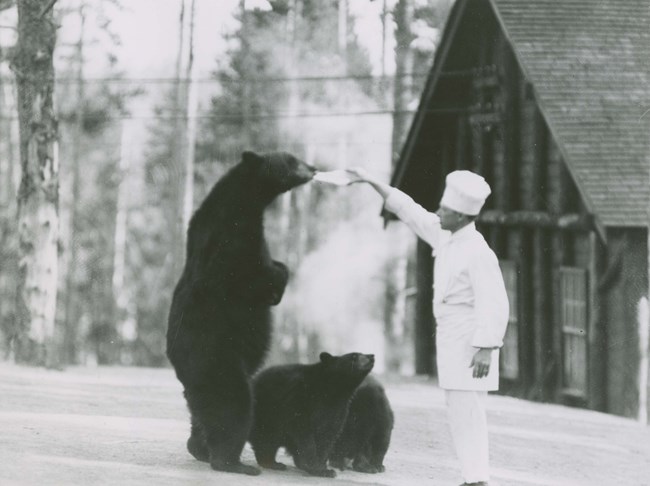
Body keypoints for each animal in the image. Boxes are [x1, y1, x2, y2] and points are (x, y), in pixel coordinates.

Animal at [166, 149, 316, 474]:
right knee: (233, 406)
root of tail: (179, 367)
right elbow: (251, 275)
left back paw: (199, 448)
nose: (314, 167)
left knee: (202, 415)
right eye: (291, 159)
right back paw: (233, 462)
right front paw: (278, 279)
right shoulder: (232, 238)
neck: (246, 198)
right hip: (219, 362)